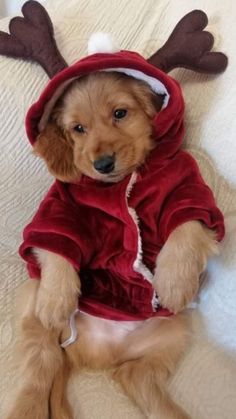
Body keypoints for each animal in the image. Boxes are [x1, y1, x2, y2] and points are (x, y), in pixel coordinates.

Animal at [6, 73, 219, 419]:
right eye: (78, 128)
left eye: (120, 113)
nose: (103, 164)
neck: (120, 184)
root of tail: (99, 353)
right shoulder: (57, 209)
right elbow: (55, 244)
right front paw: (57, 299)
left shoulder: (187, 189)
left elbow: (185, 225)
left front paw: (174, 282)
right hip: (33, 306)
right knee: (40, 374)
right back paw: (26, 408)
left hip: (173, 332)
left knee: (134, 375)